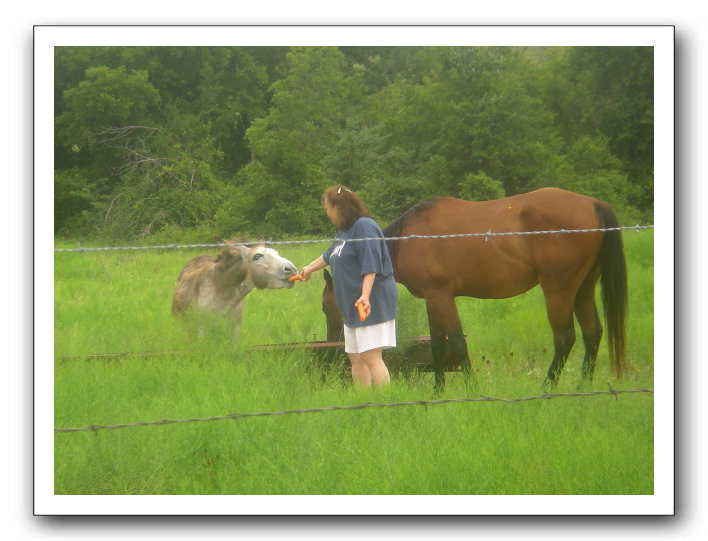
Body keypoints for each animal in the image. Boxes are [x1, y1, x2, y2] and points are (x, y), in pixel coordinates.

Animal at [322, 188, 628, 392]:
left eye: (325, 307)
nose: (333, 341)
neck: (408, 238)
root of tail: (593, 204)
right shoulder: (432, 300)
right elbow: (437, 345)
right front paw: (439, 391)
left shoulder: (442, 297)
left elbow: (457, 341)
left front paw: (471, 388)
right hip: (583, 289)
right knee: (592, 334)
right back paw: (582, 387)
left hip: (558, 290)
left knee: (564, 338)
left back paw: (546, 388)